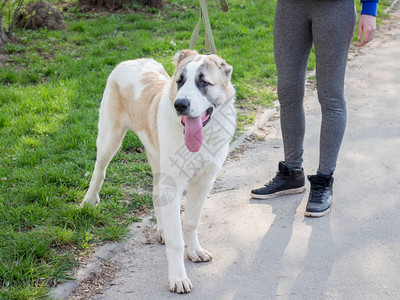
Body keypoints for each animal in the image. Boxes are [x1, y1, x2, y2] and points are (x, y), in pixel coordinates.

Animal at [81, 50, 236, 294]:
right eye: (179, 81)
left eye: (203, 82)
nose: (180, 104)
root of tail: (133, 60)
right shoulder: (175, 184)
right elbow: (176, 240)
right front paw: (178, 277)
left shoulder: (204, 183)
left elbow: (190, 222)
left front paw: (194, 250)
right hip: (109, 139)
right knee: (99, 171)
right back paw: (88, 201)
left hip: (156, 160)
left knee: (156, 195)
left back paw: (161, 228)